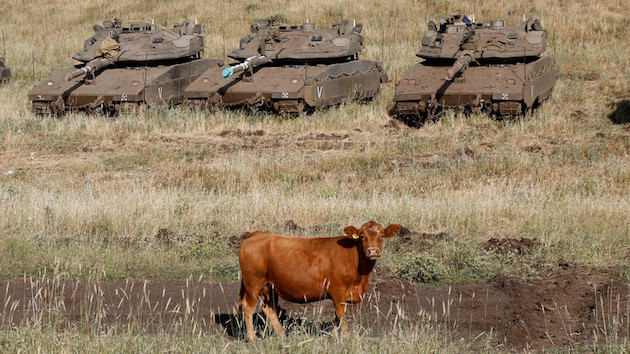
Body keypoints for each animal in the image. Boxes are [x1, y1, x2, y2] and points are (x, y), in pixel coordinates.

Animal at [237, 221, 400, 340]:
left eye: (382, 235)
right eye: (361, 236)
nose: (373, 251)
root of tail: (256, 234)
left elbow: (337, 316)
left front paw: (334, 337)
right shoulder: (338, 290)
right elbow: (342, 314)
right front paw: (347, 337)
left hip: (269, 286)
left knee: (269, 309)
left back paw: (283, 336)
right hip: (253, 283)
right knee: (248, 307)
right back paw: (252, 338)